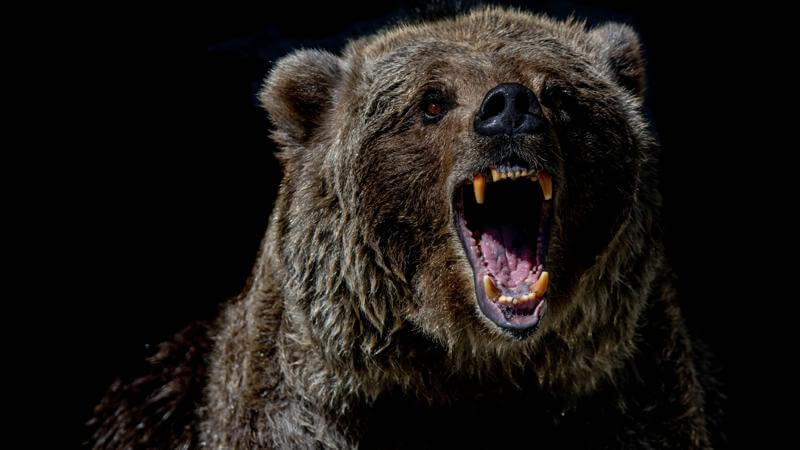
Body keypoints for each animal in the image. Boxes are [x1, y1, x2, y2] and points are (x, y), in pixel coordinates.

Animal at [89, 6, 724, 448]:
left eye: (559, 94)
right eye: (432, 102)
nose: (510, 107)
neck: (471, 365)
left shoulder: (624, 393)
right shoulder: (307, 409)